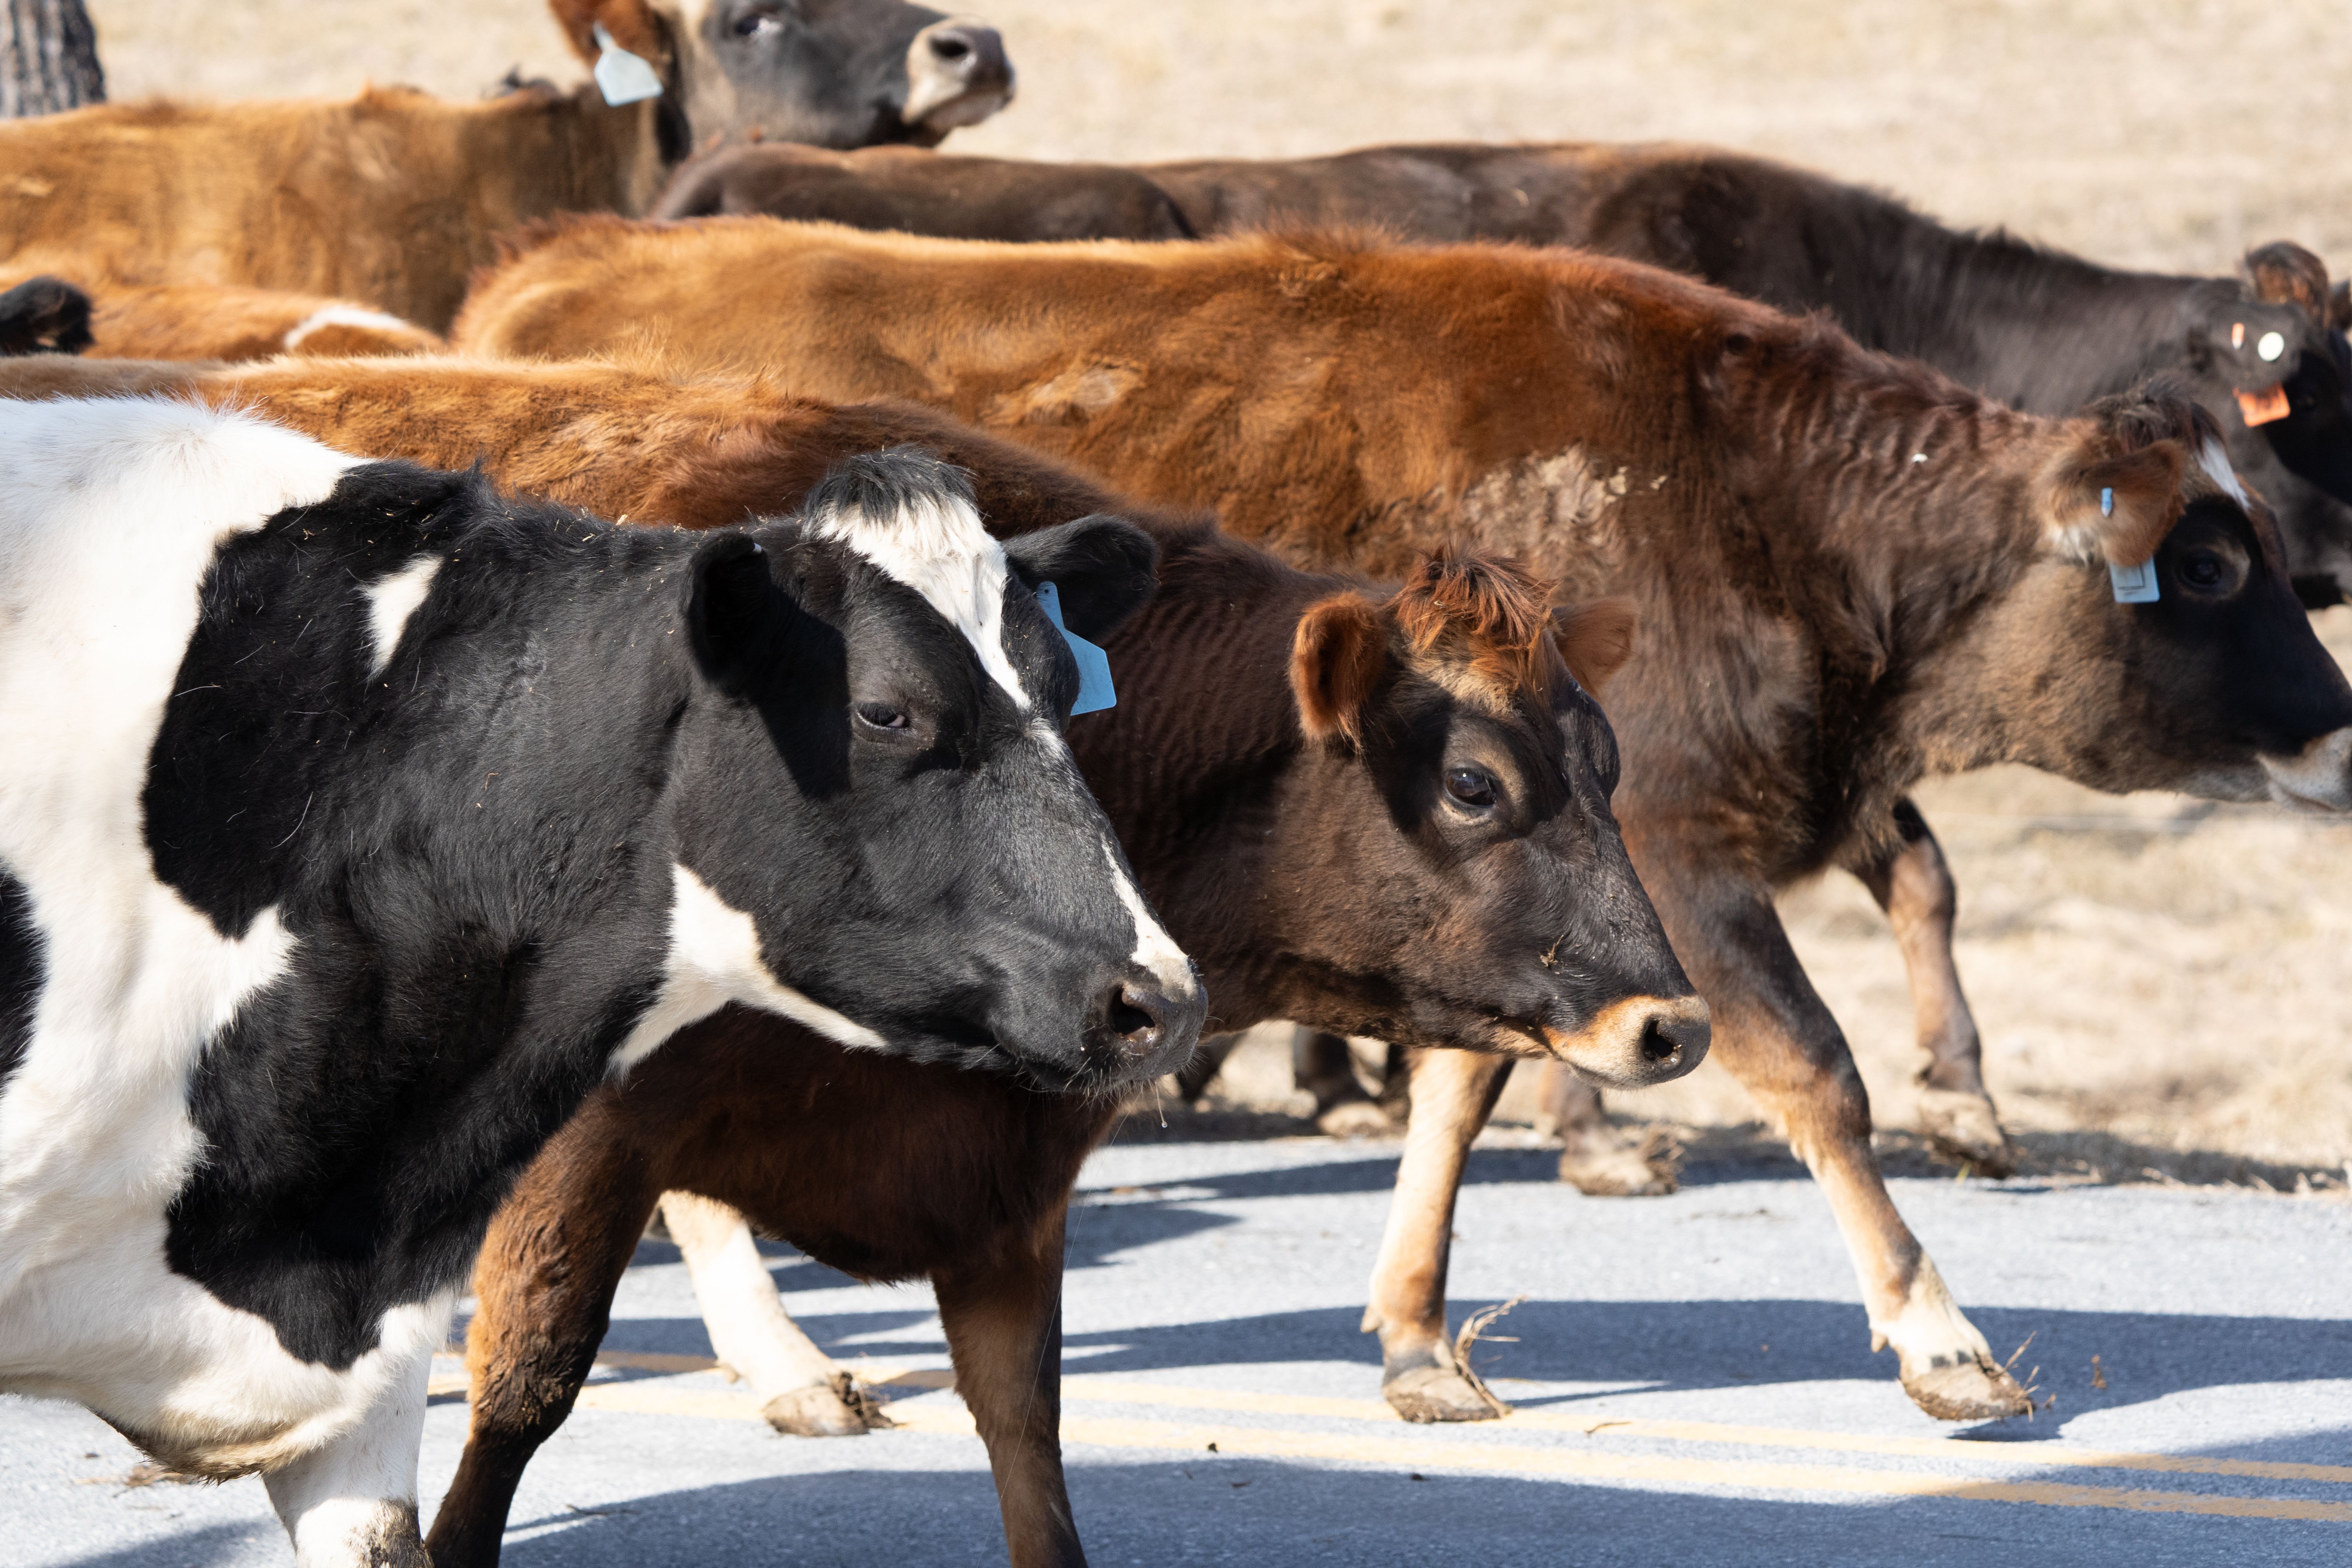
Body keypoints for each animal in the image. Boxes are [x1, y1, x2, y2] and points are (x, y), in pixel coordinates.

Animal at [448, 218, 2352, 1426]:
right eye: (2201, 565)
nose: (2340, 720)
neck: (1755, 502)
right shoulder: (1683, 865)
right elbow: (1815, 1072)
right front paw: (1939, 1335)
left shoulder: (1529, 902)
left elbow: (1458, 1079)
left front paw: (1420, 1334)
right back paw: (776, 1360)